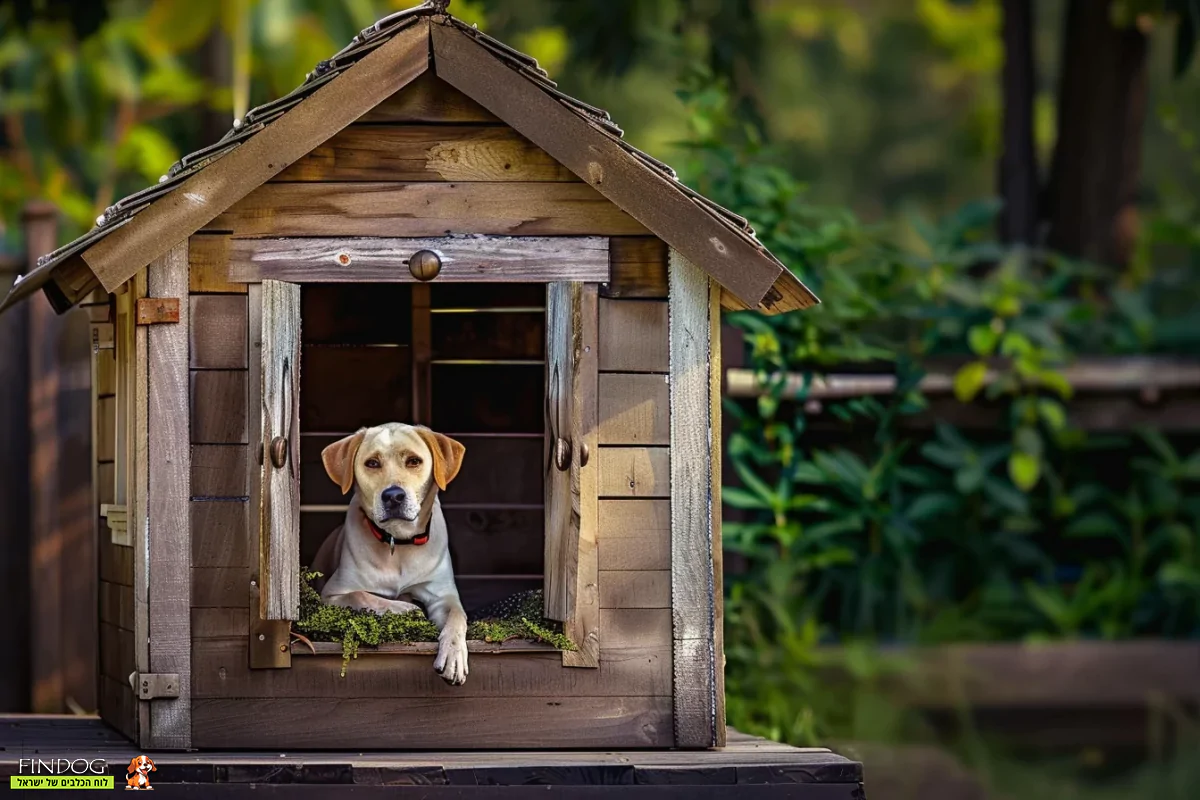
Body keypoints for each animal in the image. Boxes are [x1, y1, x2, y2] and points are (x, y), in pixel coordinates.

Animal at [312, 422, 470, 686]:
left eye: (414, 461)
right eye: (372, 463)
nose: (393, 496)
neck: (398, 543)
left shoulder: (442, 595)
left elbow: (457, 615)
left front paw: (454, 654)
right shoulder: (331, 595)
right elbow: (362, 596)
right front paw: (404, 609)